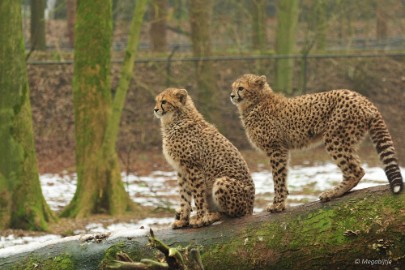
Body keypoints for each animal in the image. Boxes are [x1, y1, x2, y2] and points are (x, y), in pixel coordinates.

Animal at [153, 88, 254, 228]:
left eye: (164, 101)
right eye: (157, 101)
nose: (155, 109)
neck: (175, 119)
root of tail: (252, 208)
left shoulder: (193, 167)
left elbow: (198, 195)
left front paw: (200, 218)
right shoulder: (181, 170)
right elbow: (184, 196)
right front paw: (183, 220)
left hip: (222, 182)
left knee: (232, 214)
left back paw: (211, 216)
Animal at [229, 74, 402, 213]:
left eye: (241, 88)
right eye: (233, 88)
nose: (231, 95)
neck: (256, 101)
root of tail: (362, 98)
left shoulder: (276, 148)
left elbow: (277, 178)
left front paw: (277, 205)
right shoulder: (282, 149)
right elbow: (283, 175)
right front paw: (281, 202)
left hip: (335, 138)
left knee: (356, 170)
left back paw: (332, 193)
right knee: (357, 167)